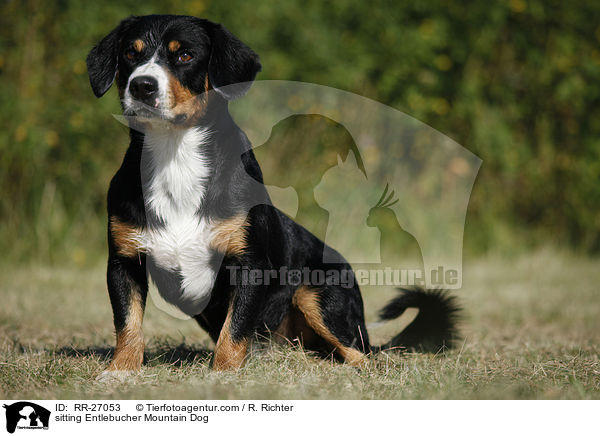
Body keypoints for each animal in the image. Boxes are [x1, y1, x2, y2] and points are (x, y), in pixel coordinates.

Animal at [84, 13, 460, 374]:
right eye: (130, 54)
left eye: (185, 55)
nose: (142, 86)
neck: (174, 158)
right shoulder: (124, 261)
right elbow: (128, 324)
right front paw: (120, 371)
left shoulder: (248, 264)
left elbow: (234, 331)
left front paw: (223, 374)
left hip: (320, 295)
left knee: (361, 354)